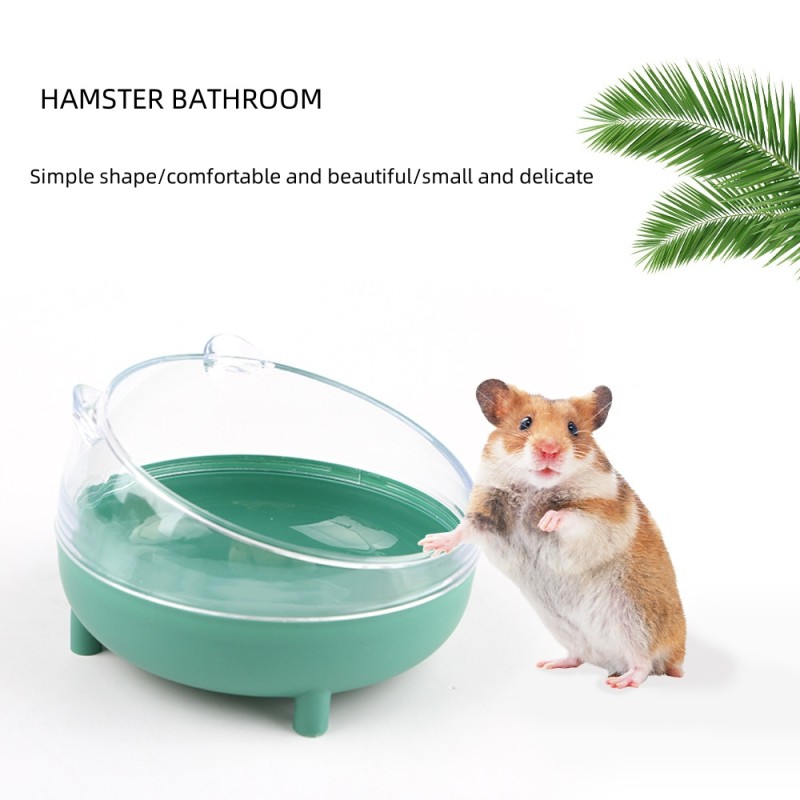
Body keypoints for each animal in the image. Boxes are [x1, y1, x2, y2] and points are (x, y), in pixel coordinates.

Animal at [419, 380, 685, 689]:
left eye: (572, 428)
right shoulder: (486, 513)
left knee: (644, 663)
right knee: (579, 656)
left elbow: (572, 515)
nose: (550, 450)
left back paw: (620, 682)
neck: (535, 487)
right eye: (525, 423)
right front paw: (430, 544)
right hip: (565, 628)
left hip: (636, 619)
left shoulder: (602, 516)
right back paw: (549, 664)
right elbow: (464, 529)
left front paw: (546, 522)